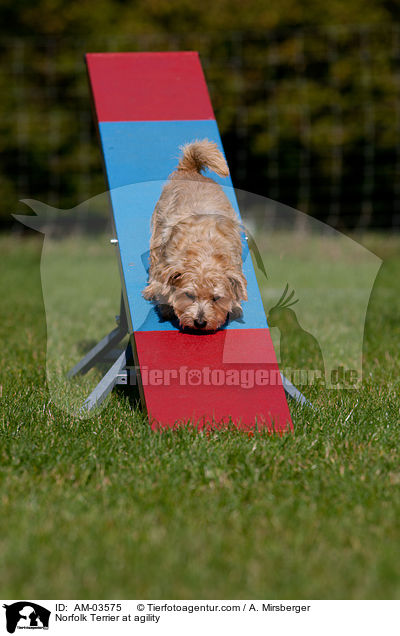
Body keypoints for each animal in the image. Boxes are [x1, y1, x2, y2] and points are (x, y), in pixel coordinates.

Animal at [142, 137, 245, 330]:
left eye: (216, 298)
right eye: (189, 295)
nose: (200, 322)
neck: (204, 251)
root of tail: (190, 170)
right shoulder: (167, 260)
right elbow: (163, 282)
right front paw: (165, 305)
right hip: (158, 231)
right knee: (154, 263)